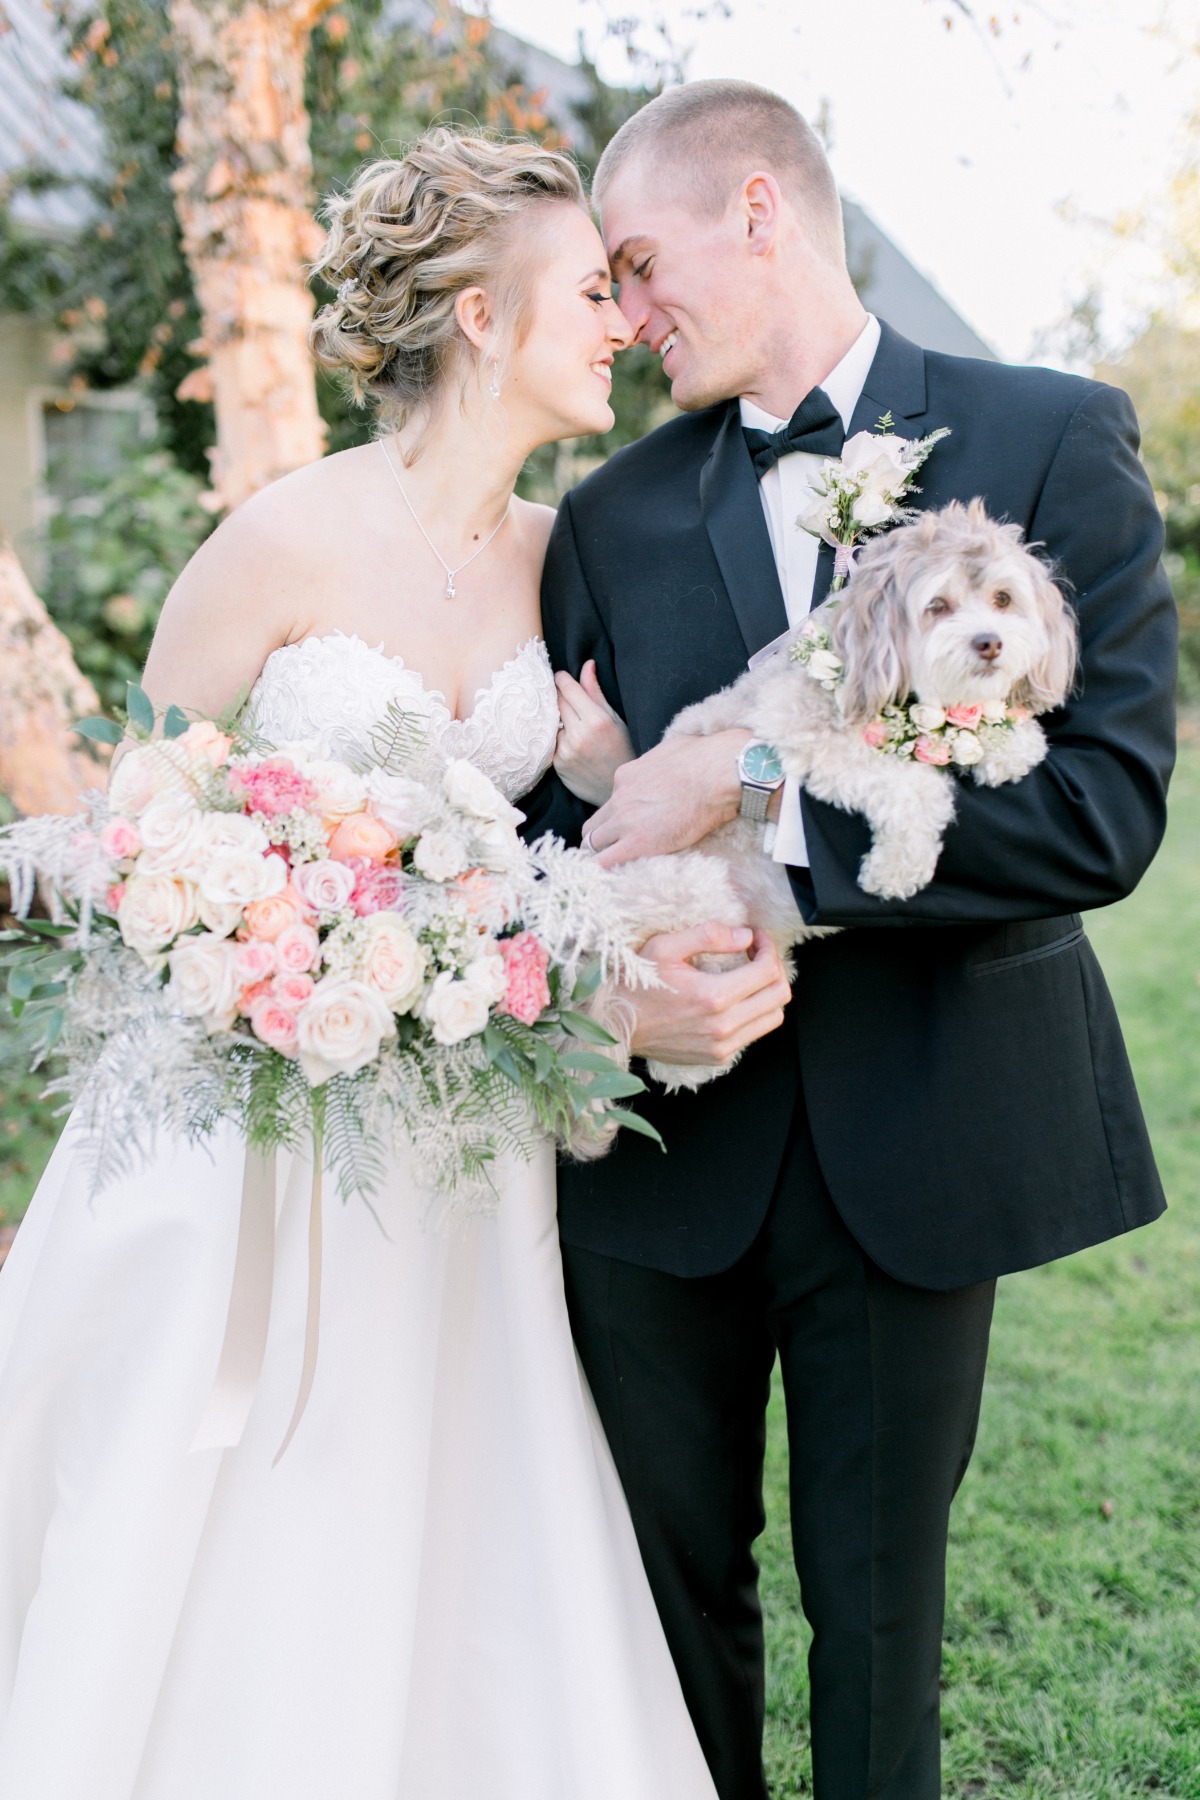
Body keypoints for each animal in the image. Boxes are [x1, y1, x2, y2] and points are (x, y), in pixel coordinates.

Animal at [590, 500, 1079, 1101]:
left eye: (1003, 599)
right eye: (937, 606)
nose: (991, 643)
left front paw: (1011, 742)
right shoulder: (806, 730)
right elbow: (914, 785)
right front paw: (898, 867)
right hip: (692, 894)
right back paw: (694, 1058)